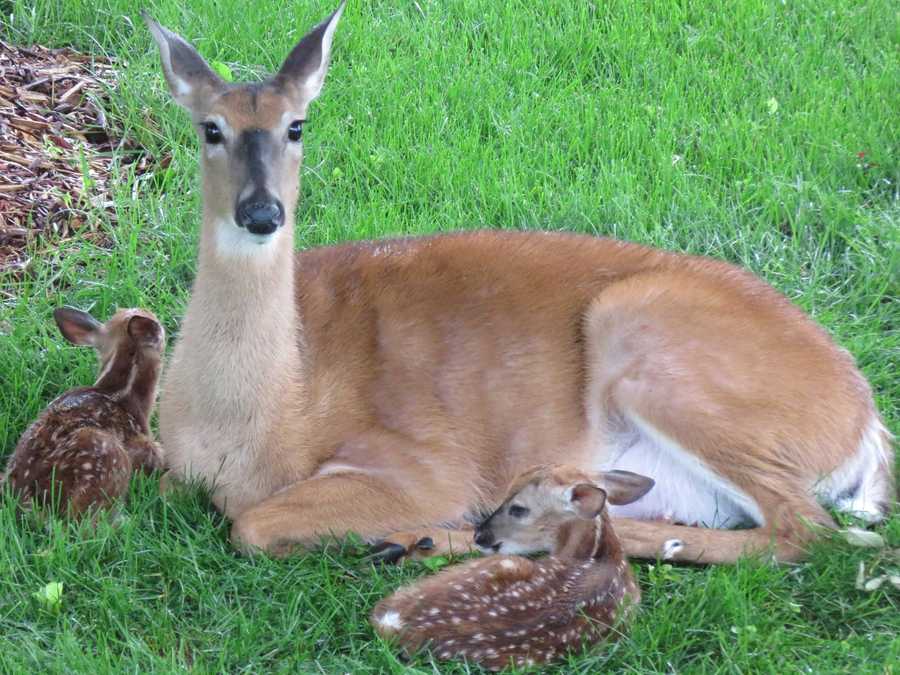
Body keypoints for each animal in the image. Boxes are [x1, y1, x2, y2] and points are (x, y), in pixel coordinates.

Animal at [144, 5, 888, 564]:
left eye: (296, 124)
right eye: (210, 129)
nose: (261, 212)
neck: (269, 414)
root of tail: (866, 424)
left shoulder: (418, 461)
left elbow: (253, 524)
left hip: (663, 350)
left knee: (802, 528)